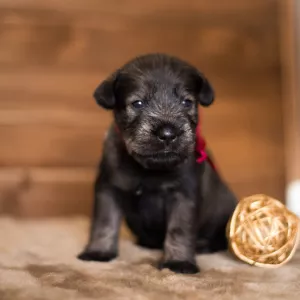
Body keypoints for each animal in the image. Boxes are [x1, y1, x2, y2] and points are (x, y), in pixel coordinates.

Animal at [78, 54, 238, 274]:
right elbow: (104, 222)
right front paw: (98, 252)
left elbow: (179, 229)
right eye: (138, 103)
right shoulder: (109, 189)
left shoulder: (183, 196)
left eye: (187, 102)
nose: (168, 134)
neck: (148, 169)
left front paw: (179, 262)